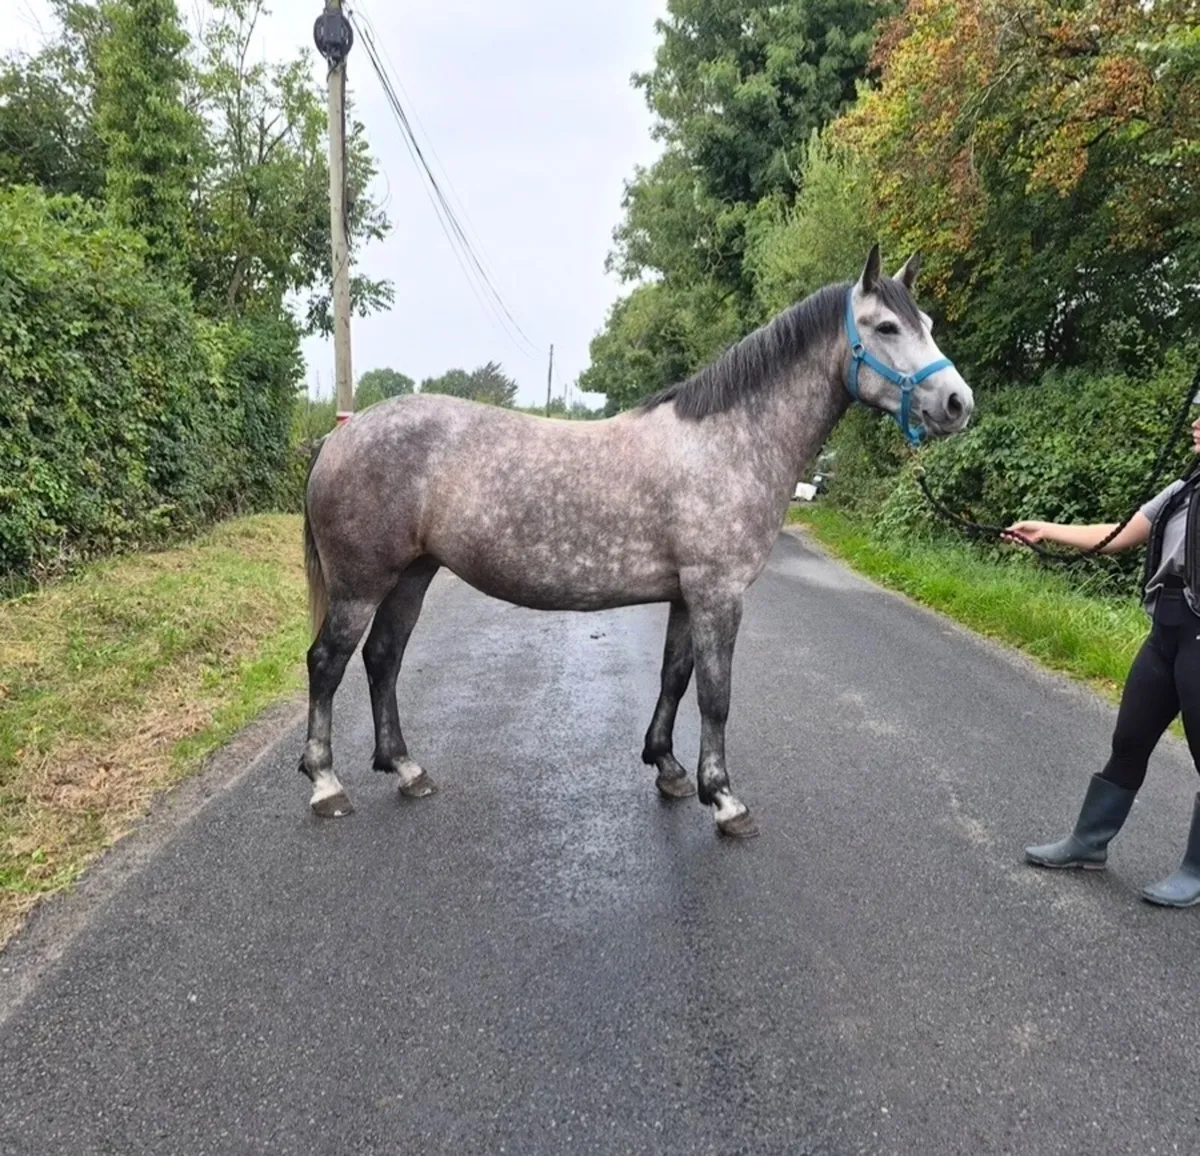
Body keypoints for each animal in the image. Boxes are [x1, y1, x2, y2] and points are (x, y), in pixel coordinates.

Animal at [299, 245, 974, 837]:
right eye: (886, 326)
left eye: (928, 324)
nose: (958, 403)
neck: (729, 443)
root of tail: (340, 436)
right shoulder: (718, 594)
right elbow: (716, 695)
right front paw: (724, 799)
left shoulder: (685, 595)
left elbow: (674, 676)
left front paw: (669, 769)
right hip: (362, 584)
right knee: (328, 662)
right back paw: (326, 784)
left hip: (412, 575)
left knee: (383, 659)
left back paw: (406, 769)